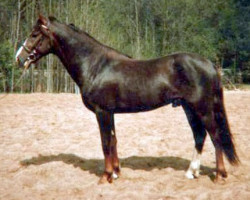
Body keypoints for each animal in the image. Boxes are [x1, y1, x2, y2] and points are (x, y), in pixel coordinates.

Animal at [15, 15, 238, 184]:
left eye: (34, 34)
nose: (19, 58)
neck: (95, 65)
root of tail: (209, 64)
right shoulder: (110, 113)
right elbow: (114, 141)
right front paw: (115, 172)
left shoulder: (102, 112)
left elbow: (105, 142)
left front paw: (105, 177)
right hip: (188, 108)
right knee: (200, 135)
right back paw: (192, 172)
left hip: (202, 108)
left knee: (215, 136)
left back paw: (219, 175)